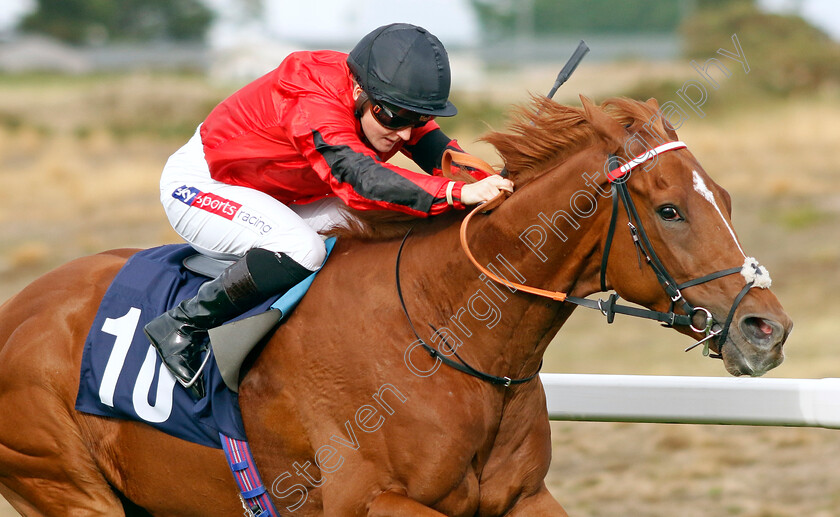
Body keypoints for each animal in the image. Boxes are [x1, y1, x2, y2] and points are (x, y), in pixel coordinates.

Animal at [0, 95, 792, 512]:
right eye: (669, 210)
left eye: (722, 199)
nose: (767, 328)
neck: (444, 331)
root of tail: (17, 311)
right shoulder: (372, 498)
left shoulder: (522, 496)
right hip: (65, 484)